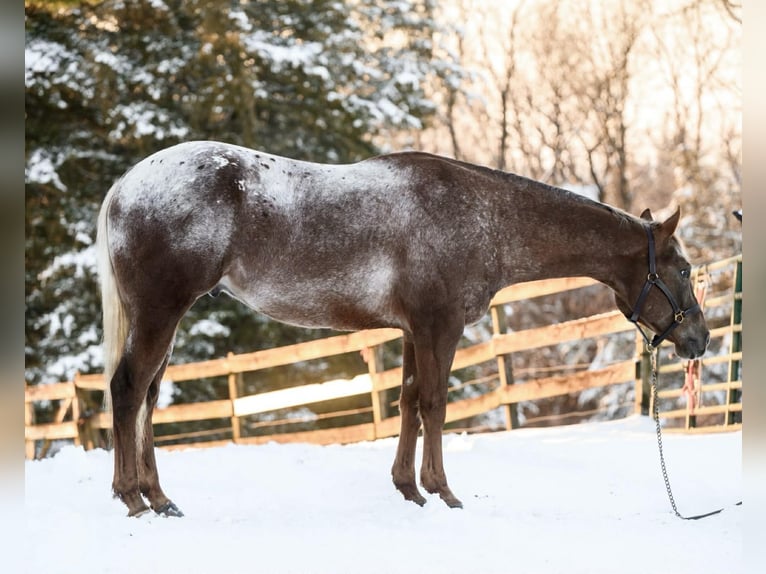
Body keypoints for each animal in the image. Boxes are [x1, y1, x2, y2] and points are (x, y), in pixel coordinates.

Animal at [96, 140, 709, 517]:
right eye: (682, 269)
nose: (699, 340)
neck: (482, 216)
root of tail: (126, 185)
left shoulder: (413, 332)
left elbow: (408, 400)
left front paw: (409, 490)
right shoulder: (440, 327)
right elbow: (435, 403)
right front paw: (444, 492)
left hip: (164, 317)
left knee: (148, 395)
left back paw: (159, 499)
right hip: (161, 310)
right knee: (128, 390)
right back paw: (132, 498)